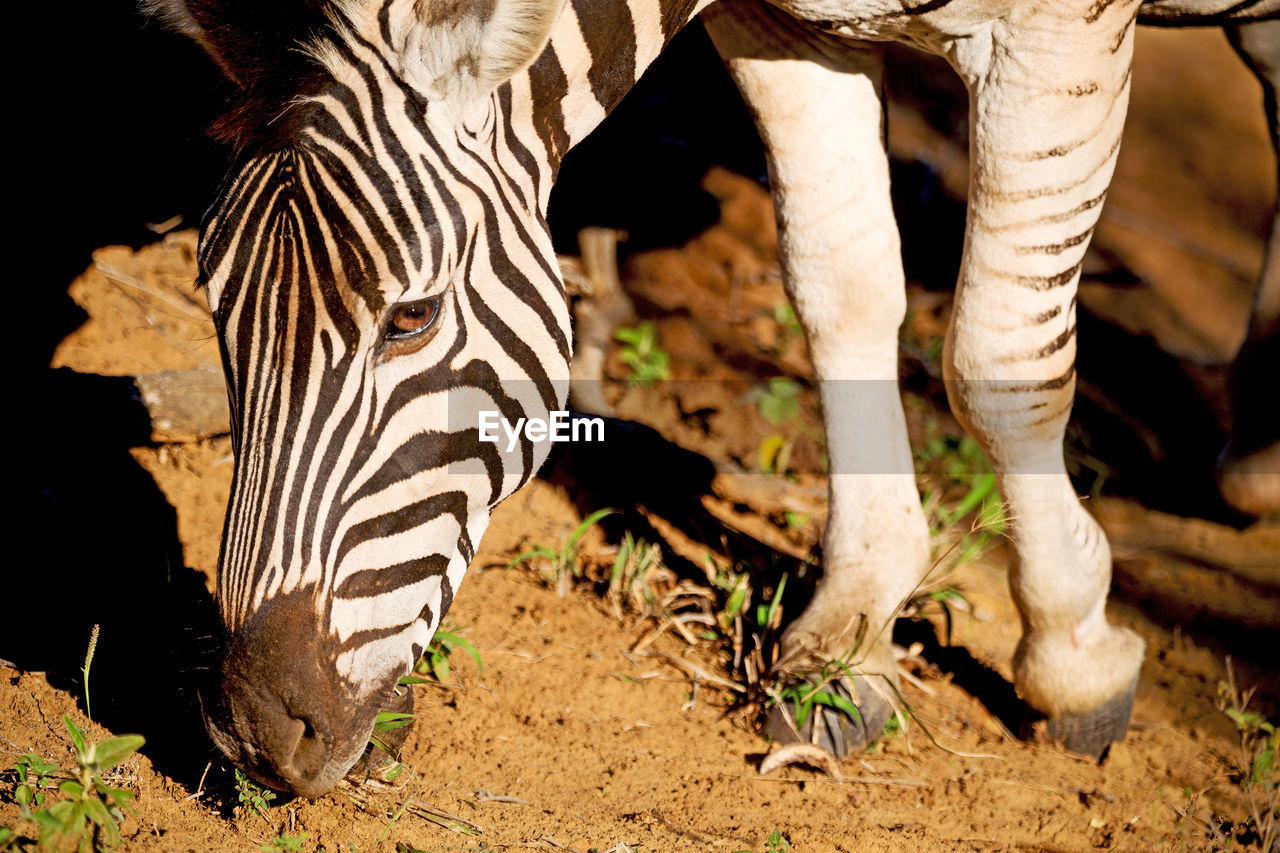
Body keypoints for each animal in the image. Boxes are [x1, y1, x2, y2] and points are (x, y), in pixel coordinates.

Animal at [145, 0, 1274, 799]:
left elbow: (997, 361)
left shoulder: (1058, 33)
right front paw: (853, 626)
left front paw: (1073, 651)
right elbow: (839, 285)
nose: (252, 732)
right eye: (215, 307)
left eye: (411, 319)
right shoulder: (783, 29)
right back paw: (1258, 457)